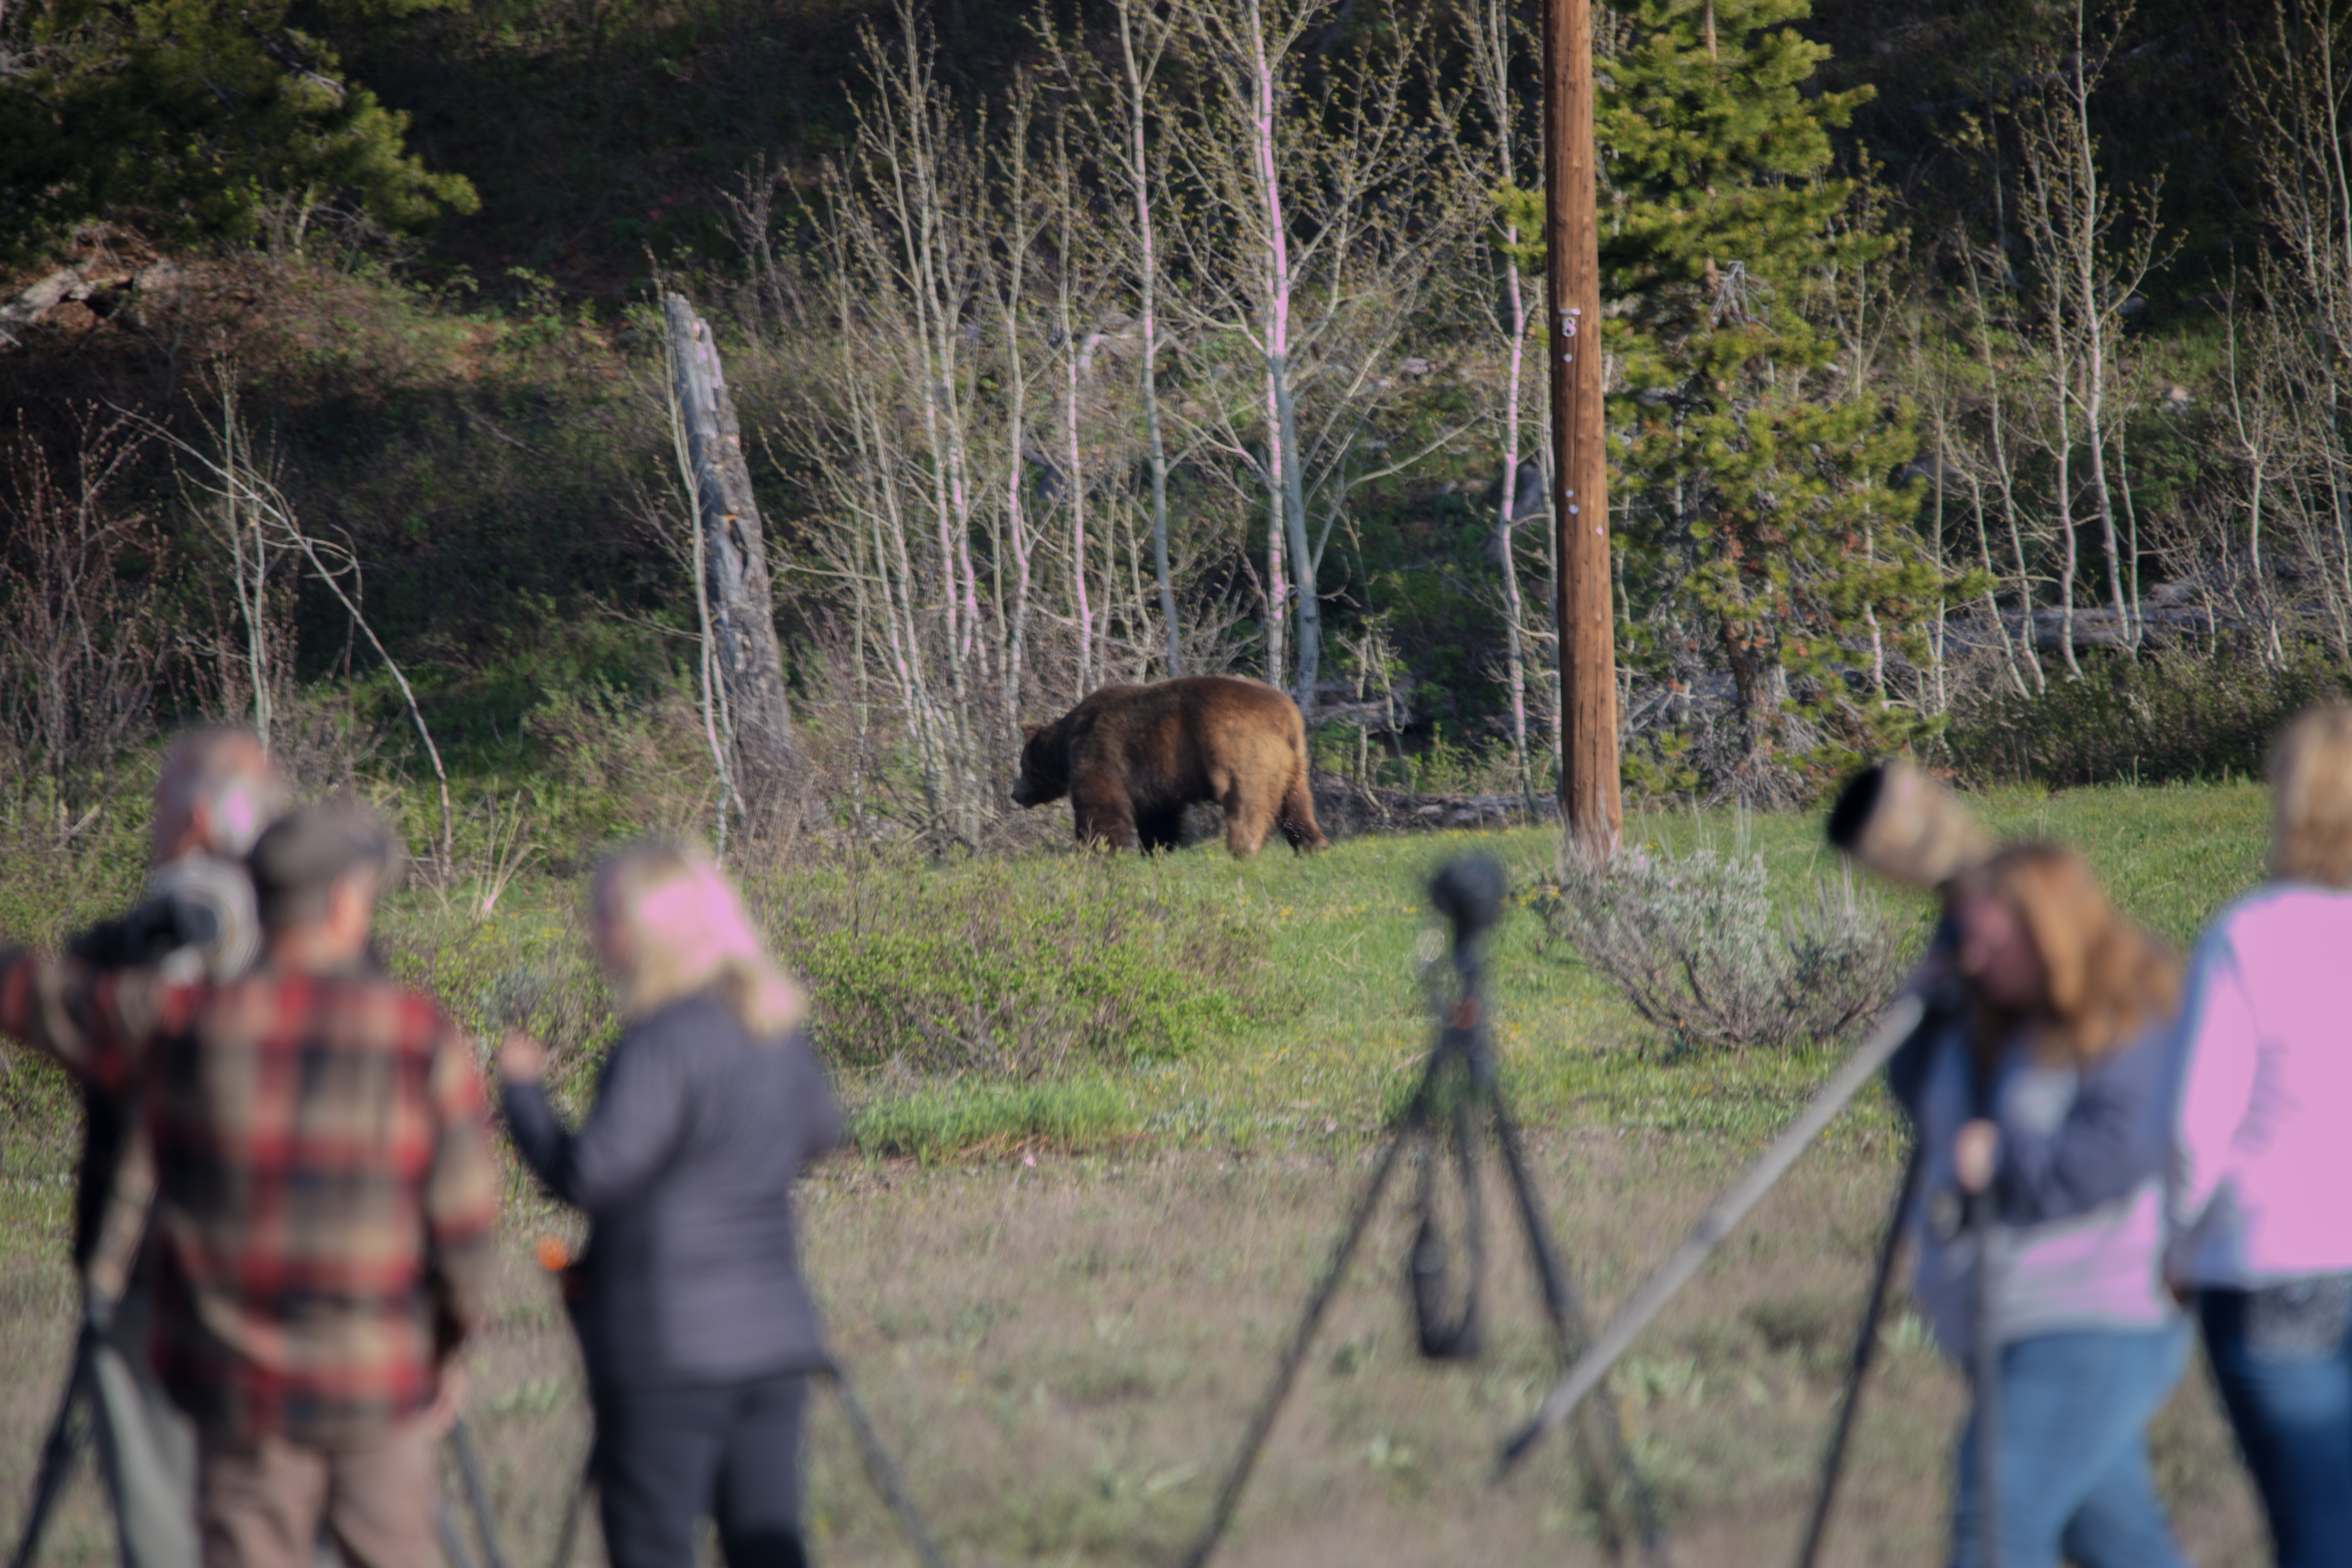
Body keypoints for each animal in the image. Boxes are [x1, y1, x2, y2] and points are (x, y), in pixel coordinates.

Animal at [1011, 675, 1329, 858]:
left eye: (1023, 767)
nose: (1015, 794)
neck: (1064, 745)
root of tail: (1289, 715)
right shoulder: (1155, 775)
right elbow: (1159, 816)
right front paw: (1160, 848)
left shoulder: (1098, 752)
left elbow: (1101, 805)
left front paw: (1099, 850)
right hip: (1293, 763)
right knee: (1297, 805)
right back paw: (1313, 845)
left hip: (1240, 746)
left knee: (1248, 801)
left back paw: (1242, 850)